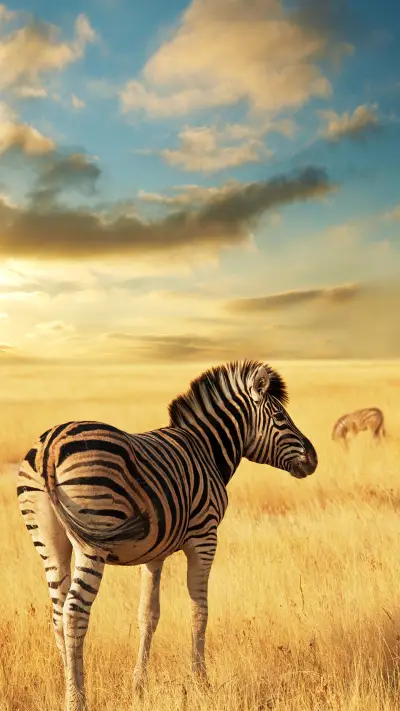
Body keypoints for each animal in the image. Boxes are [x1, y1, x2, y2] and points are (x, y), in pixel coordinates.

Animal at [17, 360, 318, 711]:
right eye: (281, 417)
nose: (314, 459)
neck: (206, 449)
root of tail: (49, 446)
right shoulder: (205, 537)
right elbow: (199, 611)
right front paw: (202, 683)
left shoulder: (154, 552)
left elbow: (148, 615)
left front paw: (139, 686)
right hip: (92, 542)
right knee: (75, 611)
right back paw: (77, 700)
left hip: (50, 544)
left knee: (57, 614)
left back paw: (70, 685)